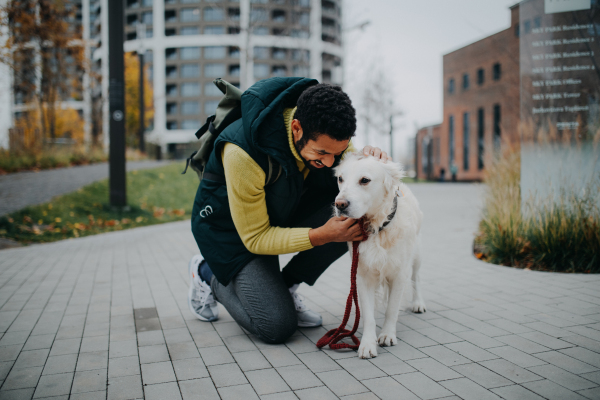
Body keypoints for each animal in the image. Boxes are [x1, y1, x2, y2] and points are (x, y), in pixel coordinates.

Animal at [336, 153, 424, 360]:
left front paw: (387, 335)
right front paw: (368, 344)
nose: (340, 205)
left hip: (416, 254)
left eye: (364, 180)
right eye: (340, 179)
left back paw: (418, 303)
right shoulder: (362, 275)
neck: (377, 227)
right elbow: (367, 315)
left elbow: (392, 309)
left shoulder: (399, 273)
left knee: (416, 278)